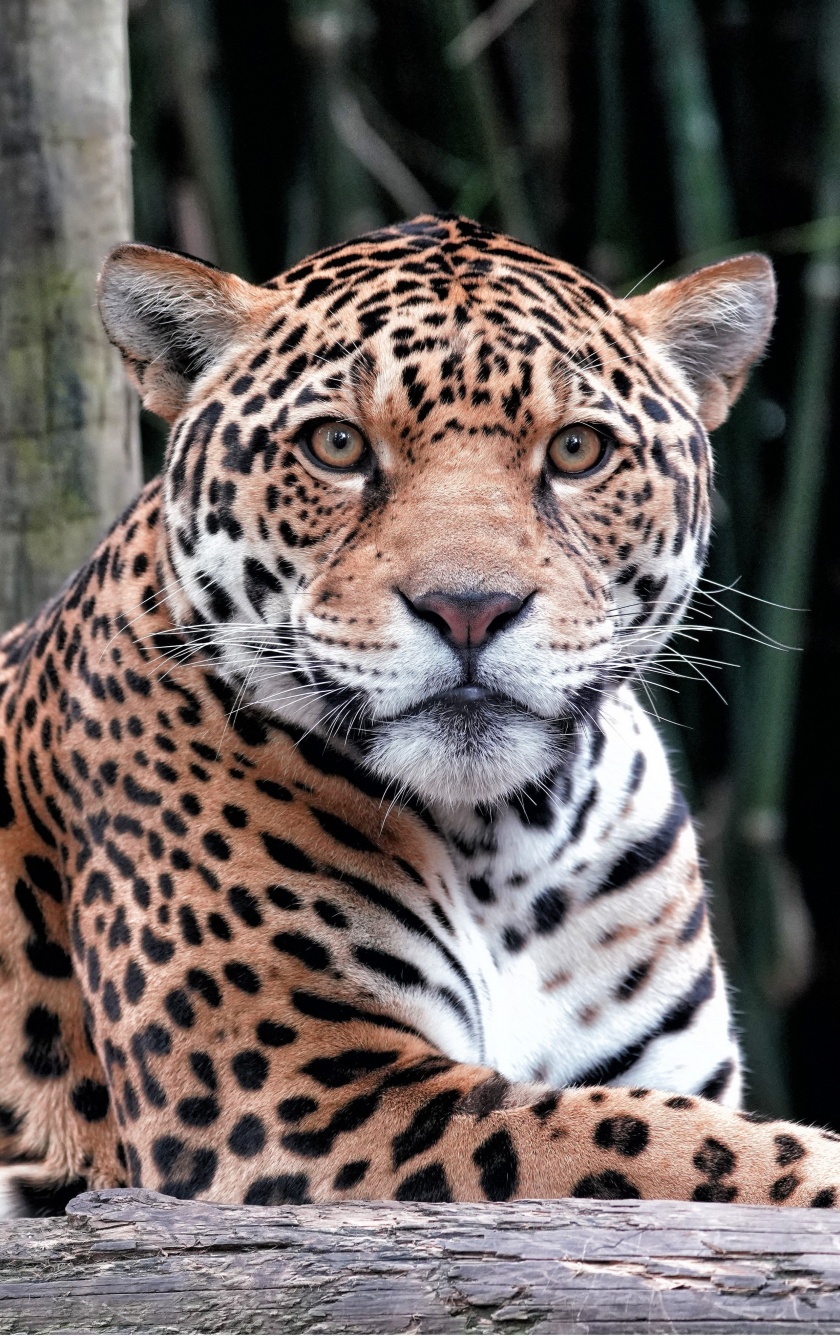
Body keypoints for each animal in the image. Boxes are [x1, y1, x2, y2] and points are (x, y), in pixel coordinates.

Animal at [1, 212, 838, 1217]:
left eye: (577, 451)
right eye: (336, 445)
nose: (469, 608)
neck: (509, 842)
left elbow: (674, 1125)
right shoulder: (291, 1104)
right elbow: (661, 1143)